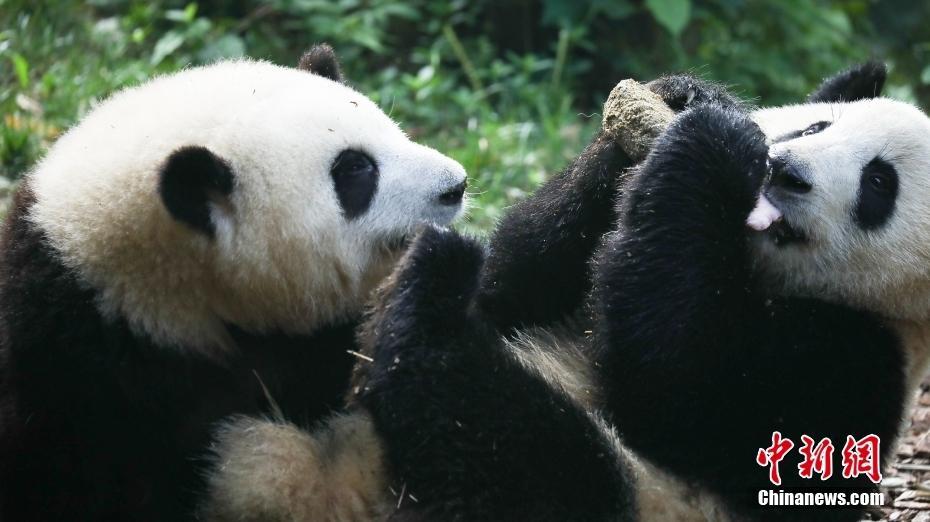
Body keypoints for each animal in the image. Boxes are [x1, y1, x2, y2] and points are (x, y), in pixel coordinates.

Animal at [199, 64, 924, 520]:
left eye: (879, 185)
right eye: (816, 127)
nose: (788, 173)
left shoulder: (855, 359)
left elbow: (681, 379)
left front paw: (711, 146)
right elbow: (515, 283)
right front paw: (678, 106)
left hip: (630, 494)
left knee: (522, 448)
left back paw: (424, 304)